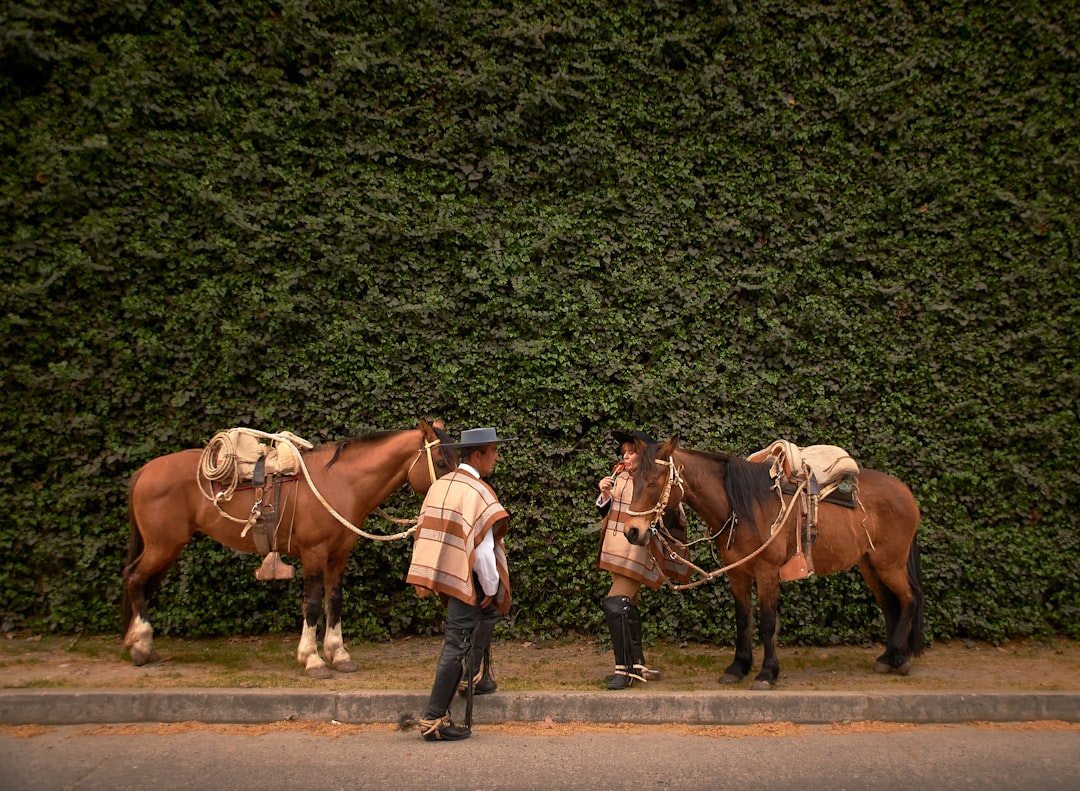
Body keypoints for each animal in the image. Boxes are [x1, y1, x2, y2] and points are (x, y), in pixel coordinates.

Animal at [121, 417, 455, 678]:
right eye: (441, 462)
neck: (339, 482)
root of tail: (144, 471)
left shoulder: (338, 555)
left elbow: (334, 600)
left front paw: (338, 654)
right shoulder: (314, 553)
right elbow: (312, 602)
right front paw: (312, 659)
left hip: (165, 548)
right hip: (163, 546)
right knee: (134, 578)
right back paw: (141, 646)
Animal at [622, 440, 924, 687]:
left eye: (653, 482)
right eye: (634, 479)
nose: (632, 532)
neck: (741, 506)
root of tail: (905, 492)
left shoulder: (767, 571)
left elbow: (768, 621)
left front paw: (767, 673)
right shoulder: (738, 574)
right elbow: (743, 619)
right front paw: (738, 668)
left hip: (890, 563)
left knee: (908, 599)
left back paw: (901, 659)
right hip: (870, 564)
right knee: (889, 604)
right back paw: (887, 658)